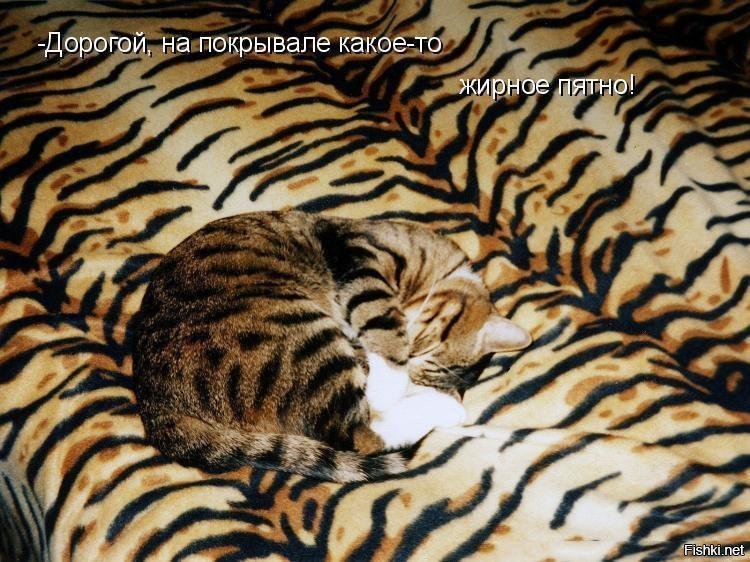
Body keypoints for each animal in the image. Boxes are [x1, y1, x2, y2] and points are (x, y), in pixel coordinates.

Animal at [132, 210, 531, 482]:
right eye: (423, 352)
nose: (414, 380)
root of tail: (155, 404)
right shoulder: (359, 257)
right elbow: (382, 320)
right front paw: (394, 379)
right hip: (301, 331)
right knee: (357, 434)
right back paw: (447, 409)